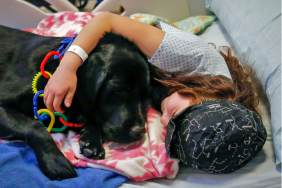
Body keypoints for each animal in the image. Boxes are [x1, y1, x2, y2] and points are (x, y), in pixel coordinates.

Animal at [0, 25, 167, 181]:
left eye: (145, 95)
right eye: (119, 89)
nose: (139, 131)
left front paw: (92, 140)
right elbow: (36, 126)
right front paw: (55, 161)